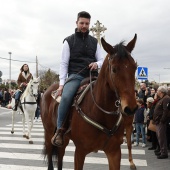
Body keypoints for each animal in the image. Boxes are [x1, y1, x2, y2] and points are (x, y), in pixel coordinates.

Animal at [41, 33, 138, 169]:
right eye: (114, 69)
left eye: (135, 67)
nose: (131, 108)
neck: (100, 112)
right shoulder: (80, 152)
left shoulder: (114, 152)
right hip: (49, 134)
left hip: (64, 140)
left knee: (60, 155)